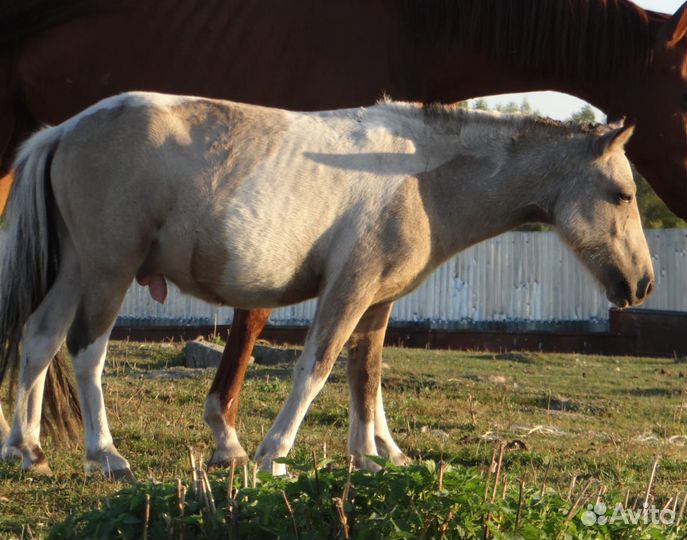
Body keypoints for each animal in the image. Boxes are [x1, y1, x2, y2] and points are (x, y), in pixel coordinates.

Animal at [0, 0, 684, 466]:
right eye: (623, 195)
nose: (644, 284)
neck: (418, 174)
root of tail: (64, 129)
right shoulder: (348, 290)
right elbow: (318, 366)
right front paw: (274, 452)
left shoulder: (378, 301)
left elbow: (366, 375)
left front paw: (374, 456)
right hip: (110, 269)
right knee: (85, 350)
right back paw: (105, 454)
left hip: (75, 269)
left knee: (39, 338)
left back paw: (27, 449)